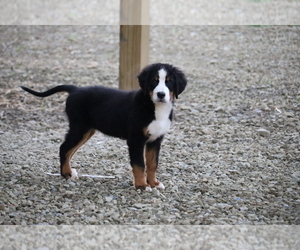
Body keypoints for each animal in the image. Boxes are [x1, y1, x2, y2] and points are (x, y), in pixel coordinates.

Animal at [21, 63, 186, 190]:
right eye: (154, 81)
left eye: (169, 82)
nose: (161, 94)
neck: (154, 108)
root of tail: (75, 89)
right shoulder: (136, 140)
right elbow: (139, 165)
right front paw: (141, 186)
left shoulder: (155, 140)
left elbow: (152, 164)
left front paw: (153, 183)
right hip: (79, 128)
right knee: (64, 148)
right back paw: (66, 173)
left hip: (87, 130)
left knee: (70, 150)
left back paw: (70, 172)